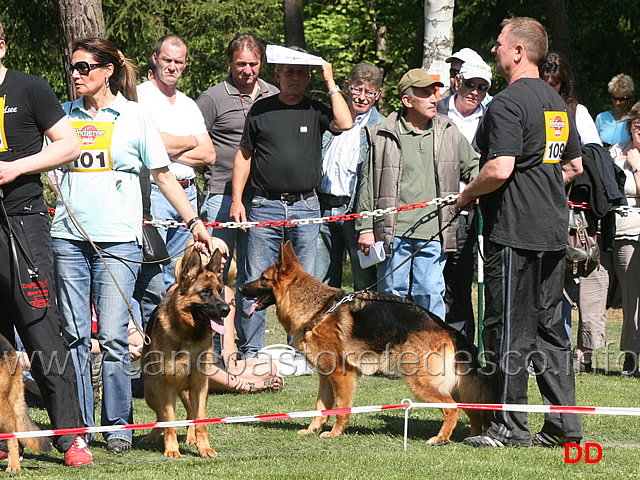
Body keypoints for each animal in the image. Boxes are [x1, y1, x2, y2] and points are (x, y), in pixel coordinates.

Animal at [141, 248, 229, 458]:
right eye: (205, 292)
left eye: (220, 290)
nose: (227, 309)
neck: (190, 337)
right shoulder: (166, 386)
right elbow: (169, 421)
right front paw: (172, 449)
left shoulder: (199, 385)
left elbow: (200, 420)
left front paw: (204, 447)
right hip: (151, 391)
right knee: (161, 416)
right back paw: (153, 436)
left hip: (189, 391)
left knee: (190, 413)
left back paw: (191, 438)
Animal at [240, 242, 496, 444]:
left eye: (262, 278)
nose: (241, 288)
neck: (318, 310)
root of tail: (447, 329)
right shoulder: (325, 376)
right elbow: (321, 406)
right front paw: (313, 429)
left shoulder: (341, 374)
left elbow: (341, 407)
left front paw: (335, 433)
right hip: (453, 383)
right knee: (471, 409)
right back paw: (471, 436)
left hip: (420, 381)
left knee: (452, 408)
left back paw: (441, 438)